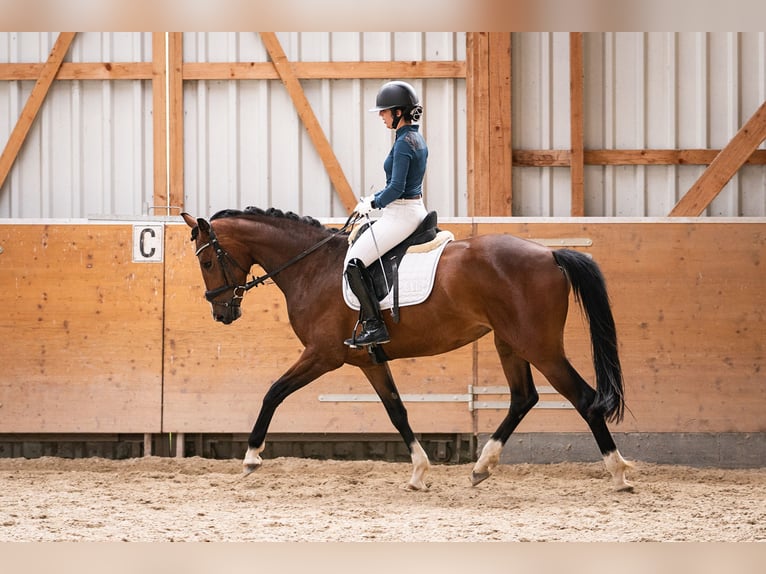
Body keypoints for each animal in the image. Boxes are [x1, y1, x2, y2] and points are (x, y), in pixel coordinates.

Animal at [182, 209, 636, 492]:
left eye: (207, 262)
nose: (222, 312)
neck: (313, 267)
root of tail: (549, 253)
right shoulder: (368, 360)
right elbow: (396, 410)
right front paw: (419, 472)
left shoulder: (322, 355)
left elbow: (273, 392)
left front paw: (251, 457)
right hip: (509, 342)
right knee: (524, 397)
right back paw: (481, 467)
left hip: (538, 345)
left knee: (584, 398)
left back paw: (619, 474)